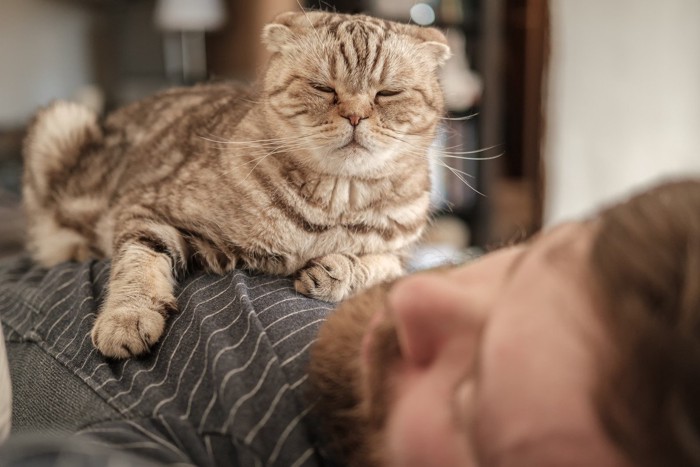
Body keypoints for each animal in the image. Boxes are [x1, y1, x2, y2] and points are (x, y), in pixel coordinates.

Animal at [21, 11, 452, 362]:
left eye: (388, 93)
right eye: (323, 88)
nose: (356, 116)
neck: (333, 205)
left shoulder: (404, 252)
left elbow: (382, 267)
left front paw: (337, 271)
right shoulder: (147, 208)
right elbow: (137, 263)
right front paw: (126, 318)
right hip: (62, 121)